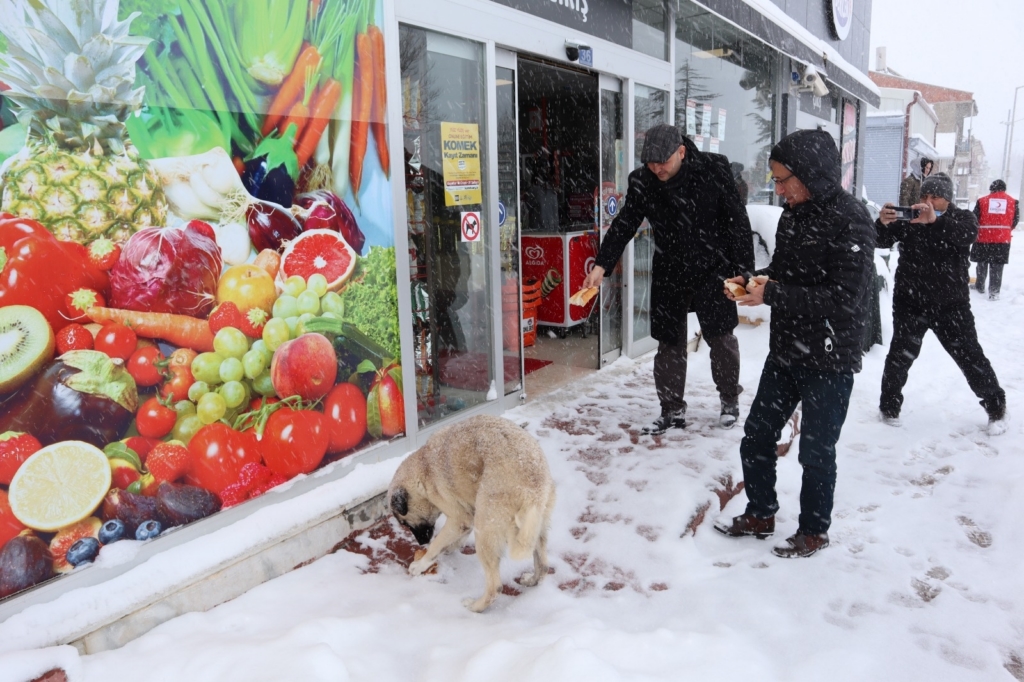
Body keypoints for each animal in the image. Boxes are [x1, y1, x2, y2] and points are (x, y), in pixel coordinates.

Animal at [385, 413, 561, 610]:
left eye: (405, 523)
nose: (422, 542)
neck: (424, 466)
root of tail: (532, 490)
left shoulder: (458, 518)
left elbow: (437, 544)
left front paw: (422, 563)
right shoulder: (468, 515)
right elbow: (451, 539)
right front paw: (450, 547)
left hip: (485, 531)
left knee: (495, 587)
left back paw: (475, 606)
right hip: (535, 529)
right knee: (543, 565)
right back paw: (532, 581)